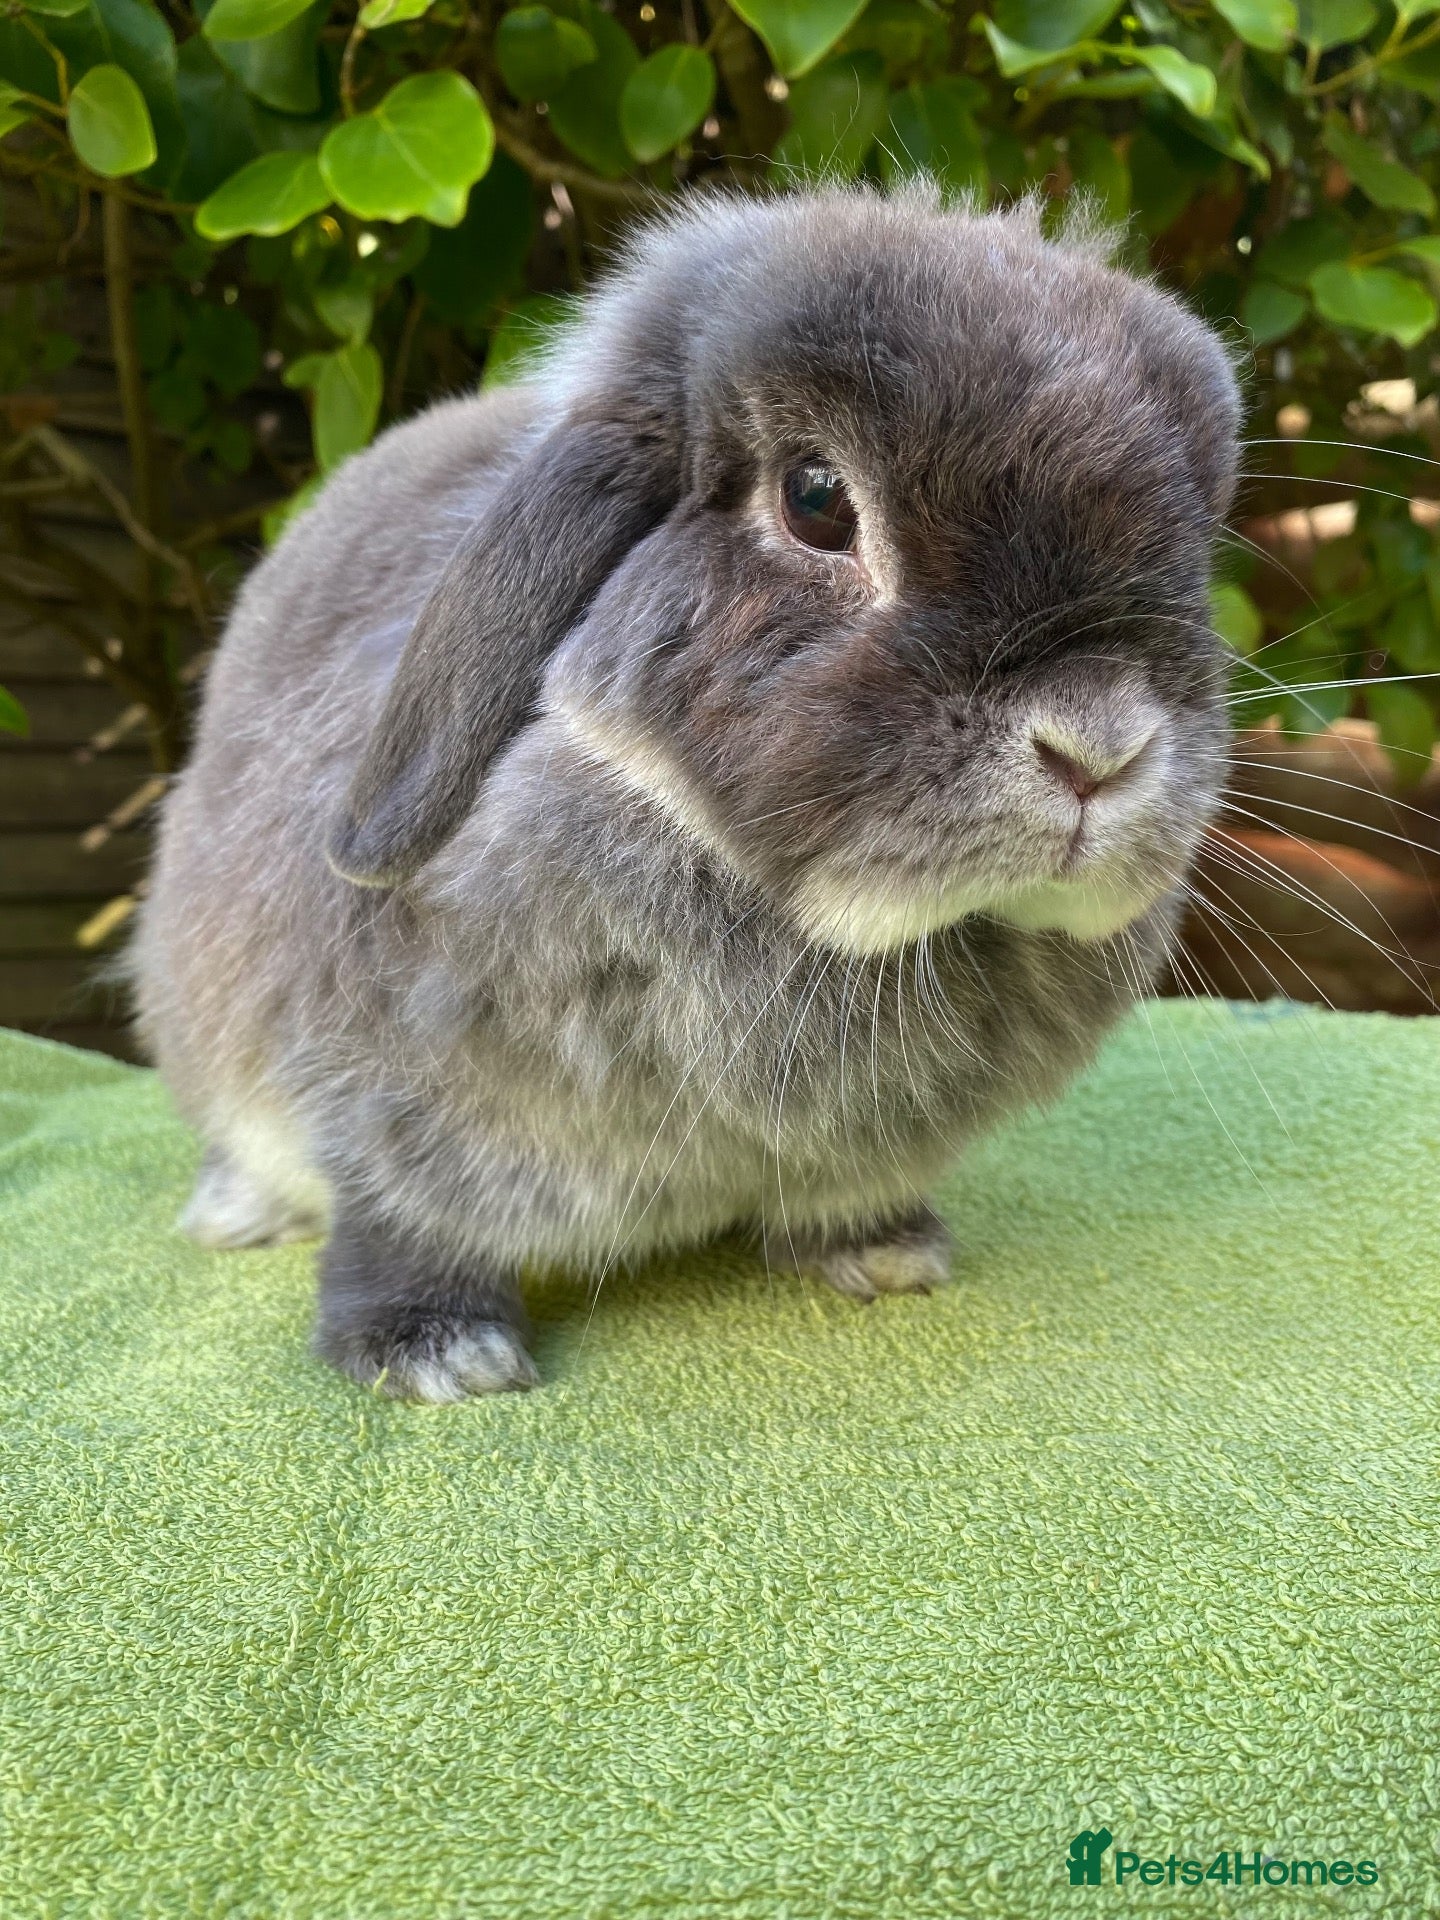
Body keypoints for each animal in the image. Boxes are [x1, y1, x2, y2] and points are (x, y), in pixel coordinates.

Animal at [132, 184, 1241, 1402]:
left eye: (1199, 540)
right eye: (815, 500)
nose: (1101, 747)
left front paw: (885, 1251)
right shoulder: (383, 1099)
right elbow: (399, 1216)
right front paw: (434, 1352)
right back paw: (237, 1215)